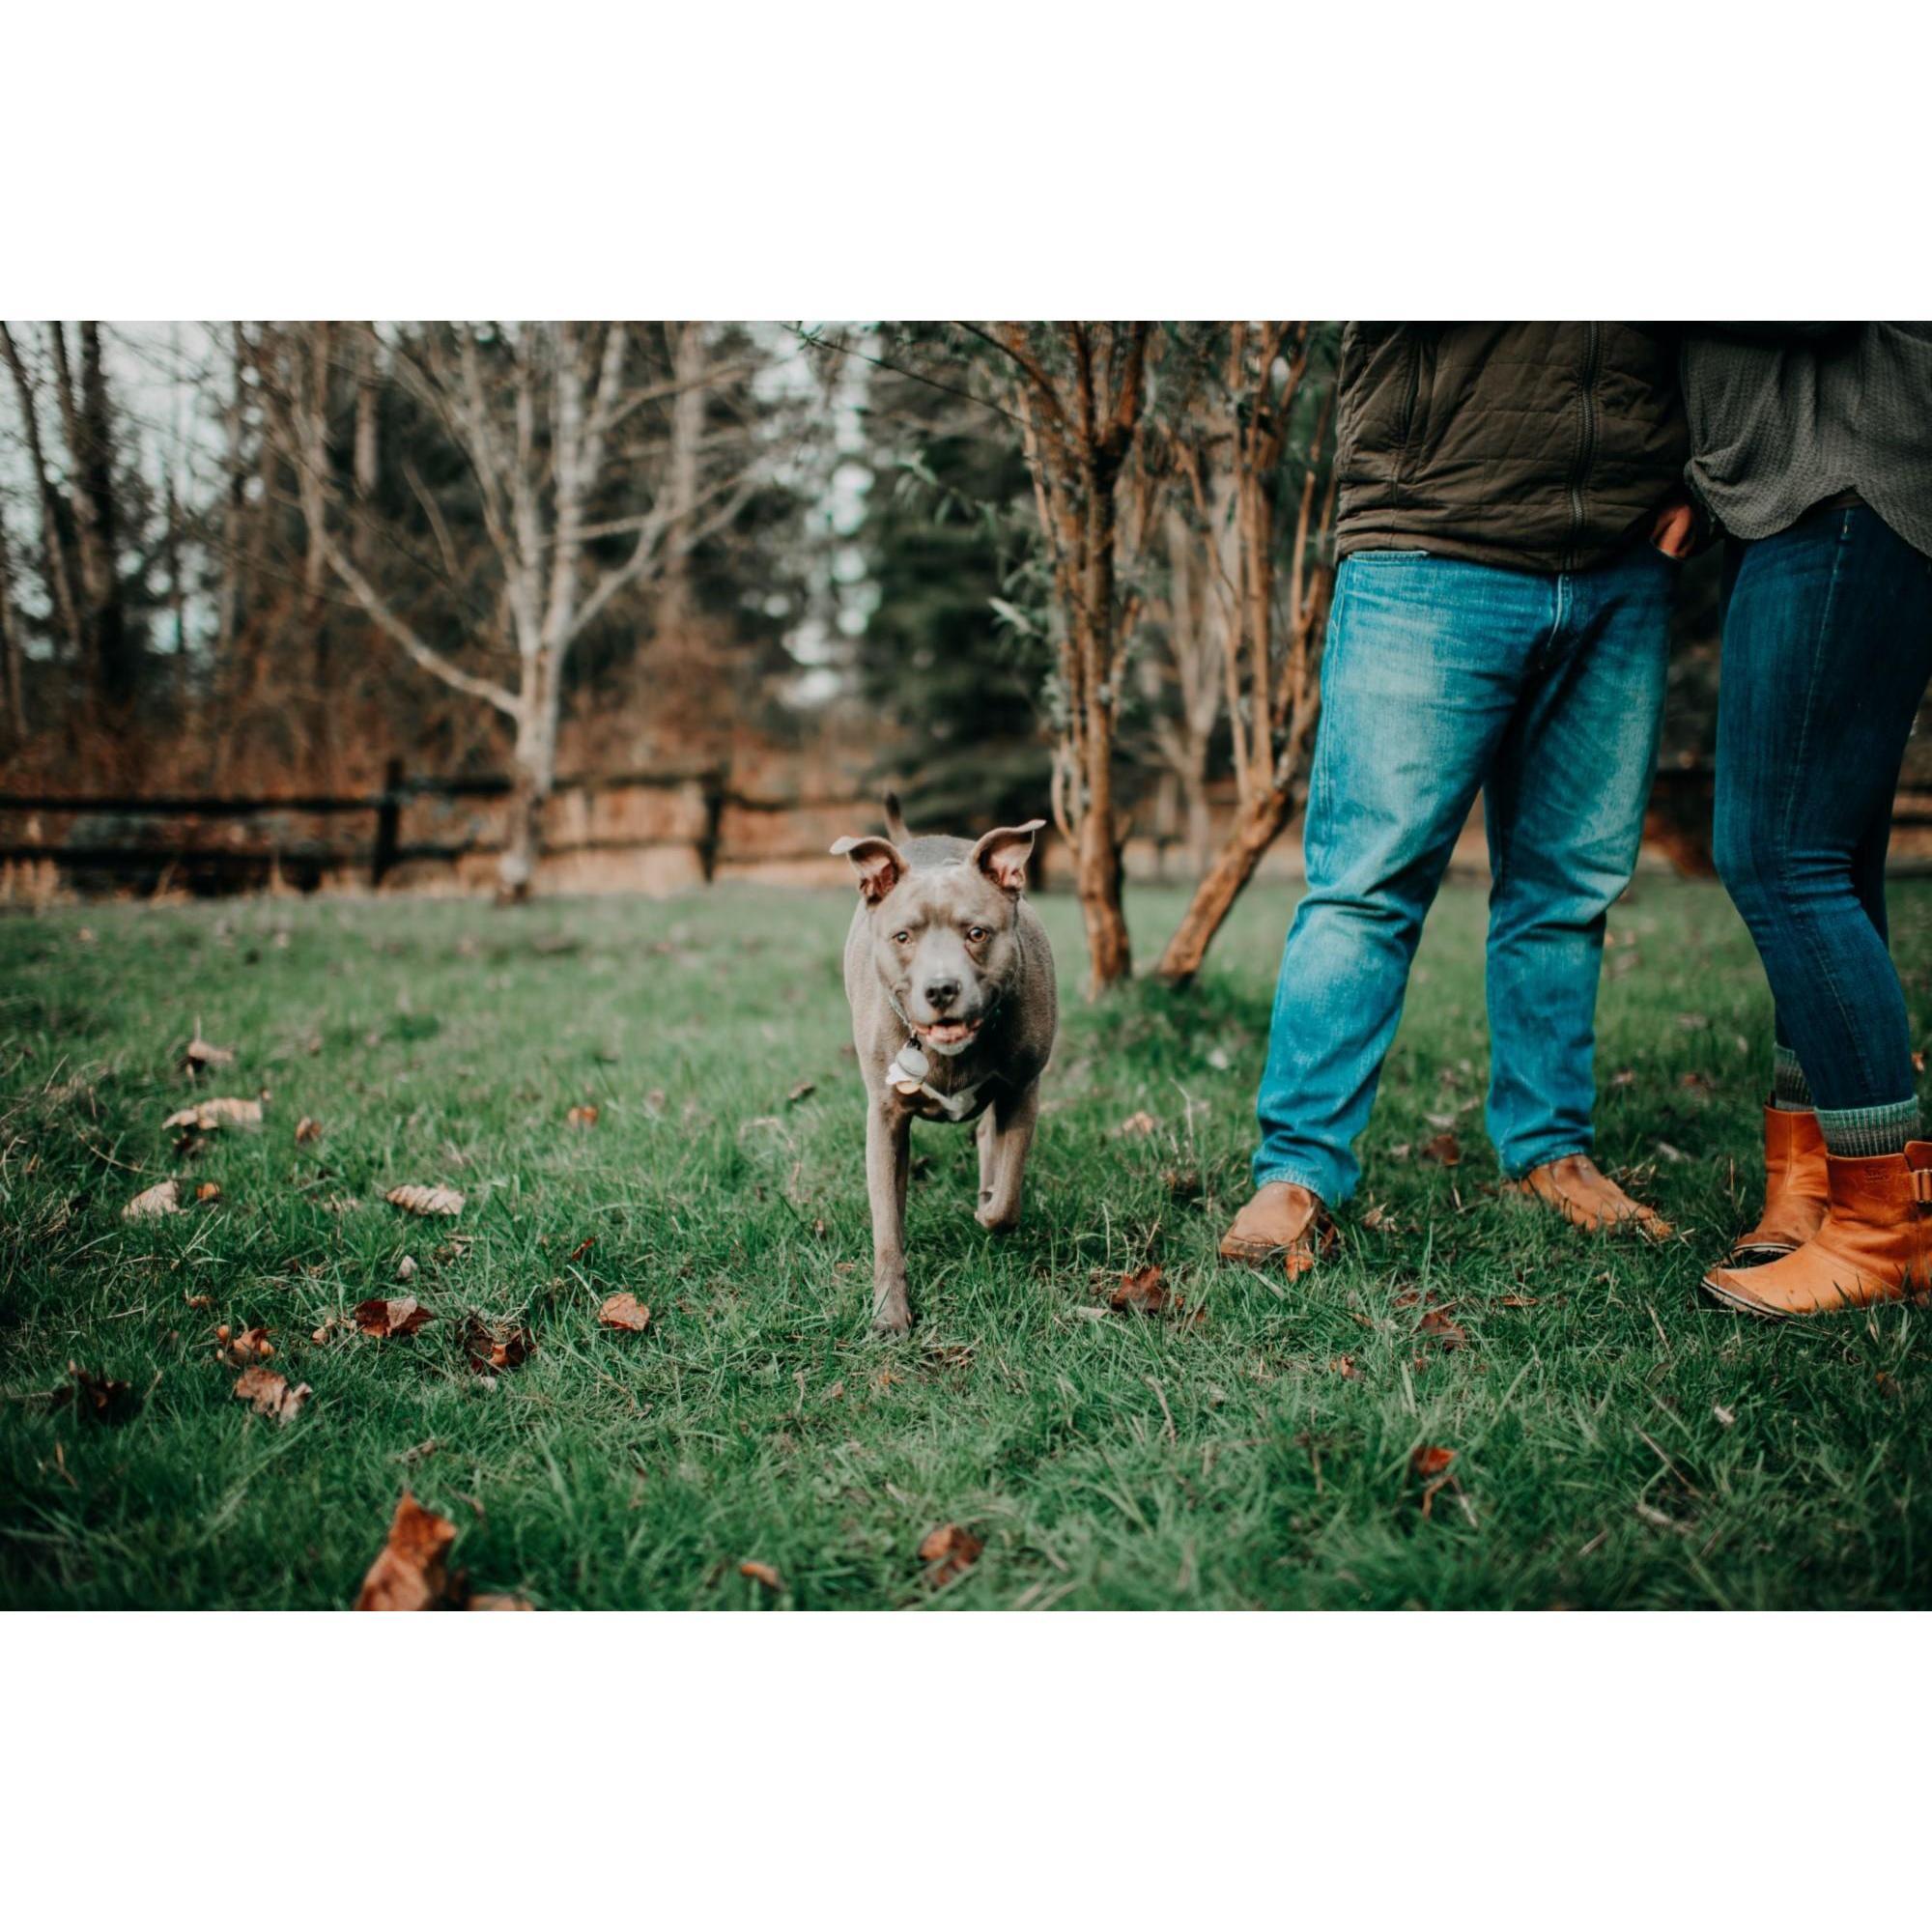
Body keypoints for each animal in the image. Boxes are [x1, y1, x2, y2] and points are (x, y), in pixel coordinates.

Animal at [835, 792, 1059, 1337]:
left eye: (977, 932)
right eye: (902, 937)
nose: (940, 989)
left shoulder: (1022, 1090)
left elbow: (1008, 1199)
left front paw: (988, 1209)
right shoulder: (885, 1118)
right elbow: (887, 1227)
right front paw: (889, 1313)